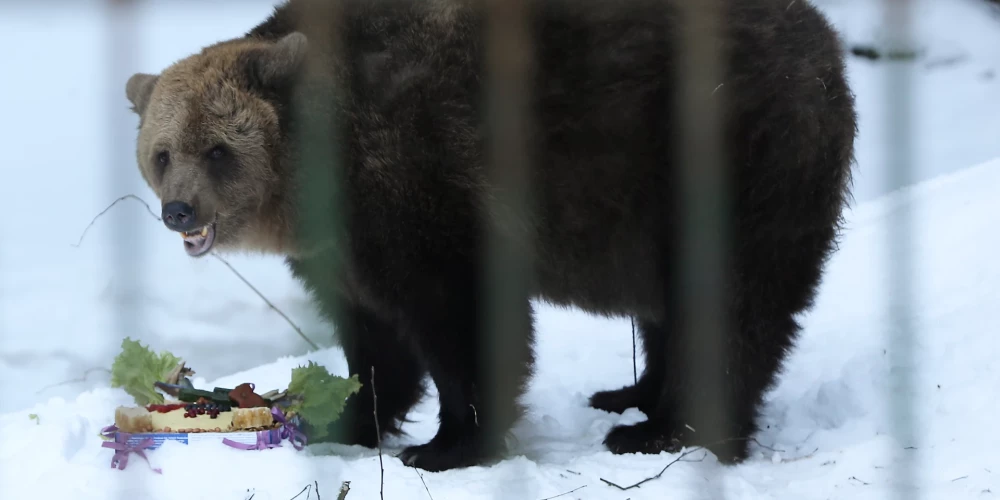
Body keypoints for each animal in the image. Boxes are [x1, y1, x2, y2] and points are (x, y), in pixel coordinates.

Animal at [123, 0, 860, 472]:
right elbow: (374, 340)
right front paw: (343, 418)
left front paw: (447, 445)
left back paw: (665, 431)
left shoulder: (425, 188)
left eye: (218, 149)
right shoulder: (345, 249)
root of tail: (828, 40)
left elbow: (460, 321)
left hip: (728, 155)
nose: (179, 211)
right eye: (162, 152)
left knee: (733, 304)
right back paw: (630, 395)